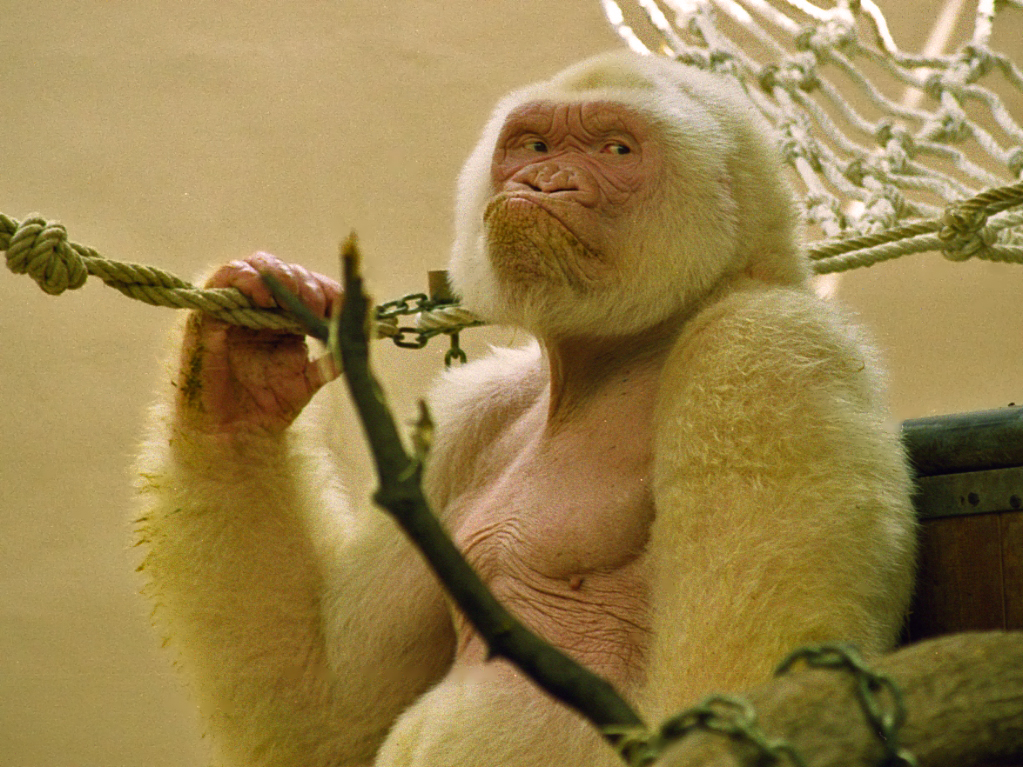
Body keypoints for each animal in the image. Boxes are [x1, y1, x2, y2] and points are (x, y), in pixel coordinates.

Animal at [134, 51, 917, 767]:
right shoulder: (470, 416)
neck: (612, 360)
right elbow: (325, 717)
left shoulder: (763, 349)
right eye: (535, 147)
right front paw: (235, 377)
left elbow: (735, 688)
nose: (539, 183)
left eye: (615, 150)